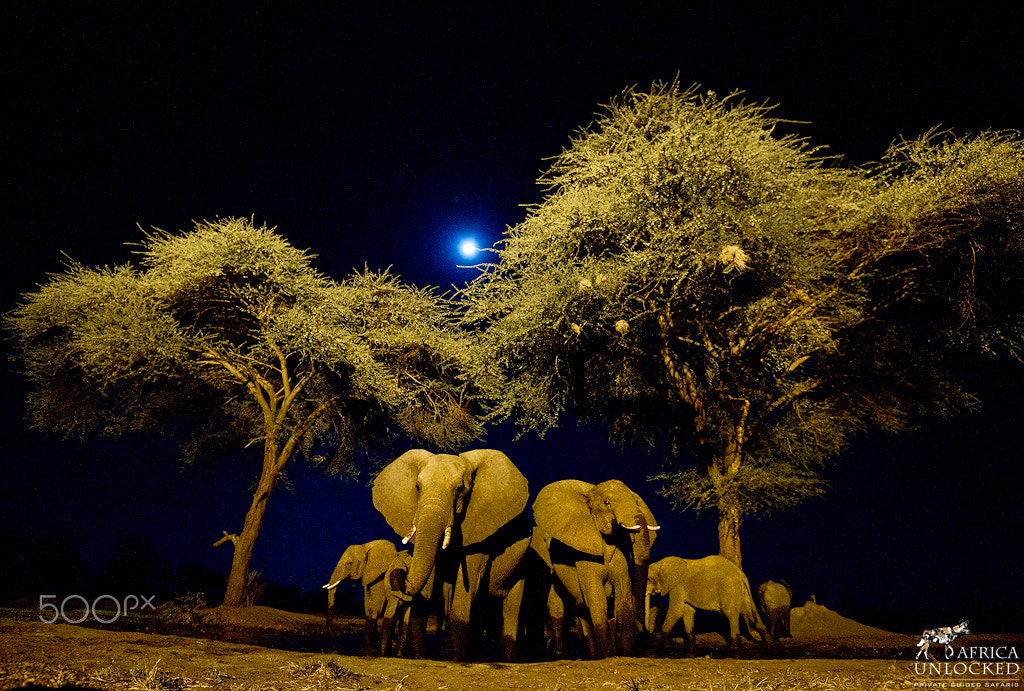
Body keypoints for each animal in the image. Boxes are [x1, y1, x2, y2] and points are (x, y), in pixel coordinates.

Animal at [372, 449, 532, 661]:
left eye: (459, 489)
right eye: (417, 487)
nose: (399, 567)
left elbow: (467, 582)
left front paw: (453, 658)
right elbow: (430, 584)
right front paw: (421, 656)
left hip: (522, 564)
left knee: (511, 606)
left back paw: (505, 659)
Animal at [531, 479, 659, 659]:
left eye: (636, 502)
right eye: (606, 502)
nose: (644, 634)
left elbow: (623, 596)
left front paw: (627, 654)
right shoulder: (584, 552)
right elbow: (597, 599)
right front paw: (607, 655)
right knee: (567, 606)